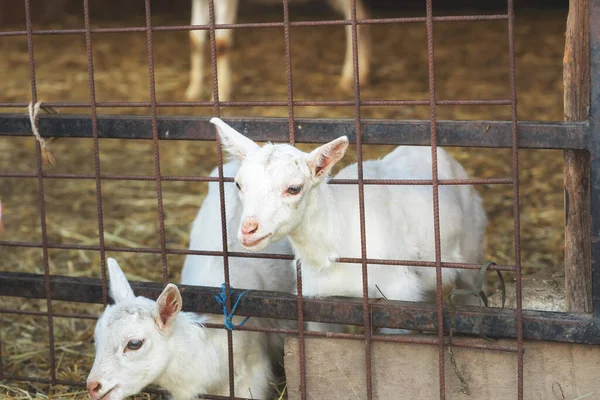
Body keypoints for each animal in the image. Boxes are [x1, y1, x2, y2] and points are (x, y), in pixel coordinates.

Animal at [185, 0, 370, 100]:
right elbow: (195, 39)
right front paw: (193, 91)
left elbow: (221, 43)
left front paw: (221, 95)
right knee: (358, 17)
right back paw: (360, 76)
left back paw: (349, 78)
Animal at [210, 117, 488, 332]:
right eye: (239, 184)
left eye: (294, 188)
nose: (248, 230)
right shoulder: (319, 302)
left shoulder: (398, 297)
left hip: (471, 249)